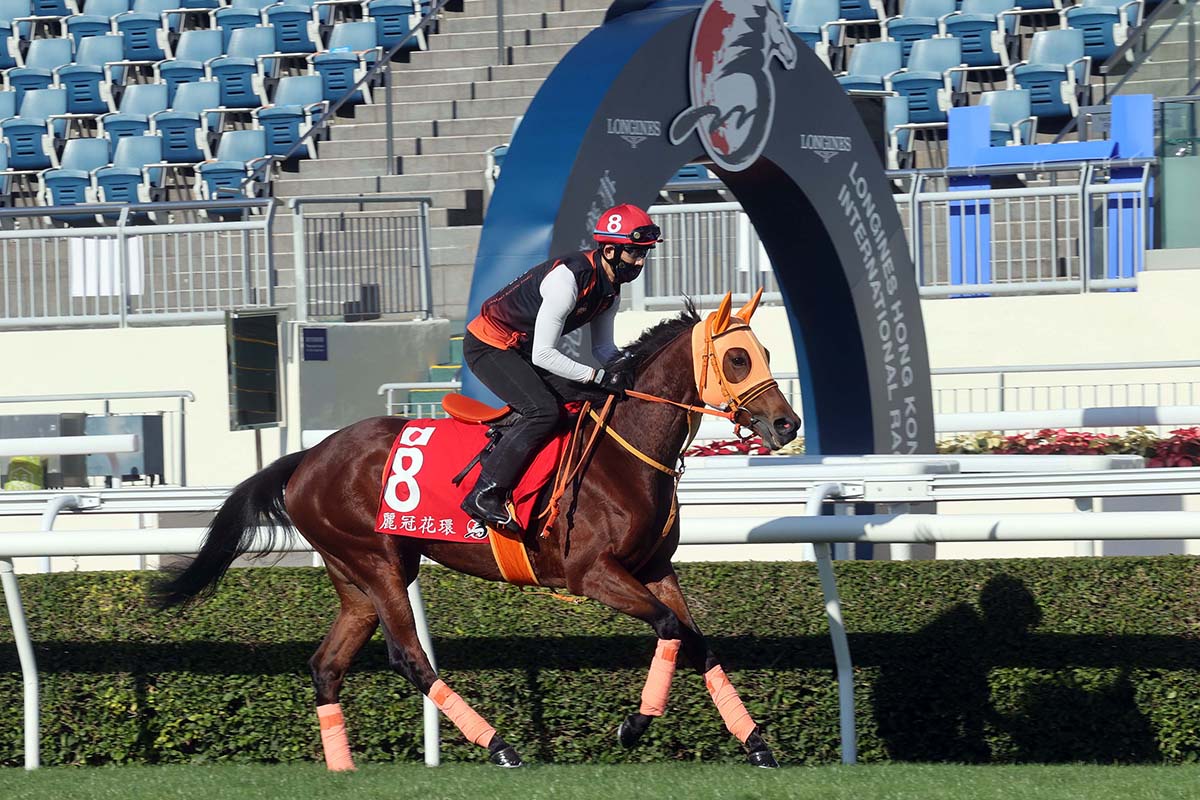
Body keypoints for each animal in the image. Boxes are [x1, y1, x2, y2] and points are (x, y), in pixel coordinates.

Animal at [154, 292, 801, 767]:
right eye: (738, 358)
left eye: (766, 350)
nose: (786, 424)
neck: (624, 452)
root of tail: (307, 458)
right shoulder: (591, 574)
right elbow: (668, 628)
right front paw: (634, 726)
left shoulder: (655, 568)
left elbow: (697, 641)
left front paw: (758, 745)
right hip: (379, 564)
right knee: (410, 657)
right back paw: (501, 747)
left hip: (355, 576)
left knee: (326, 665)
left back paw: (343, 769)